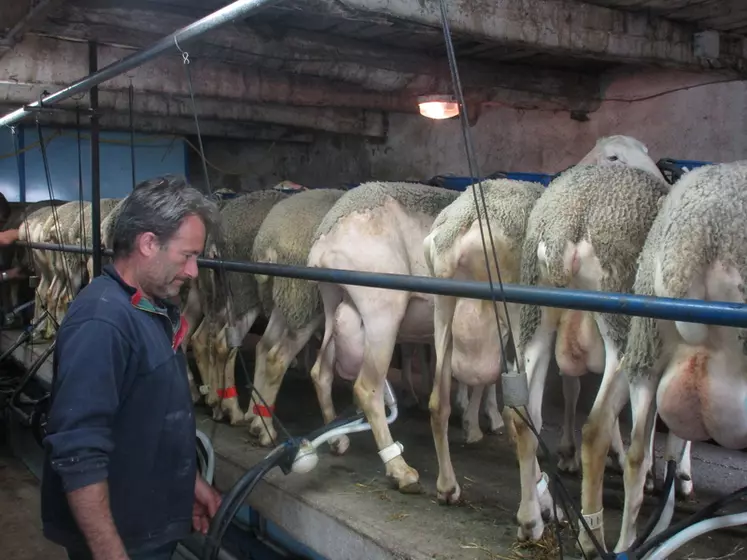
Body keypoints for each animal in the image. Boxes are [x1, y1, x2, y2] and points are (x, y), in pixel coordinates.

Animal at [188, 189, 290, 424]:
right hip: (243, 293)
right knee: (223, 344)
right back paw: (231, 408)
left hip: (212, 296)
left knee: (199, 338)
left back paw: (213, 401)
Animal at [306, 182, 458, 492]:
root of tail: (324, 240)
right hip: (383, 310)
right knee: (367, 388)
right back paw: (400, 469)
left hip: (333, 303)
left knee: (320, 373)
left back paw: (337, 439)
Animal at [424, 178, 548, 504]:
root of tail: (464, 224)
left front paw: (477, 422)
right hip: (515, 306)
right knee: (524, 410)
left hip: (443, 303)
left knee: (437, 402)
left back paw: (447, 486)